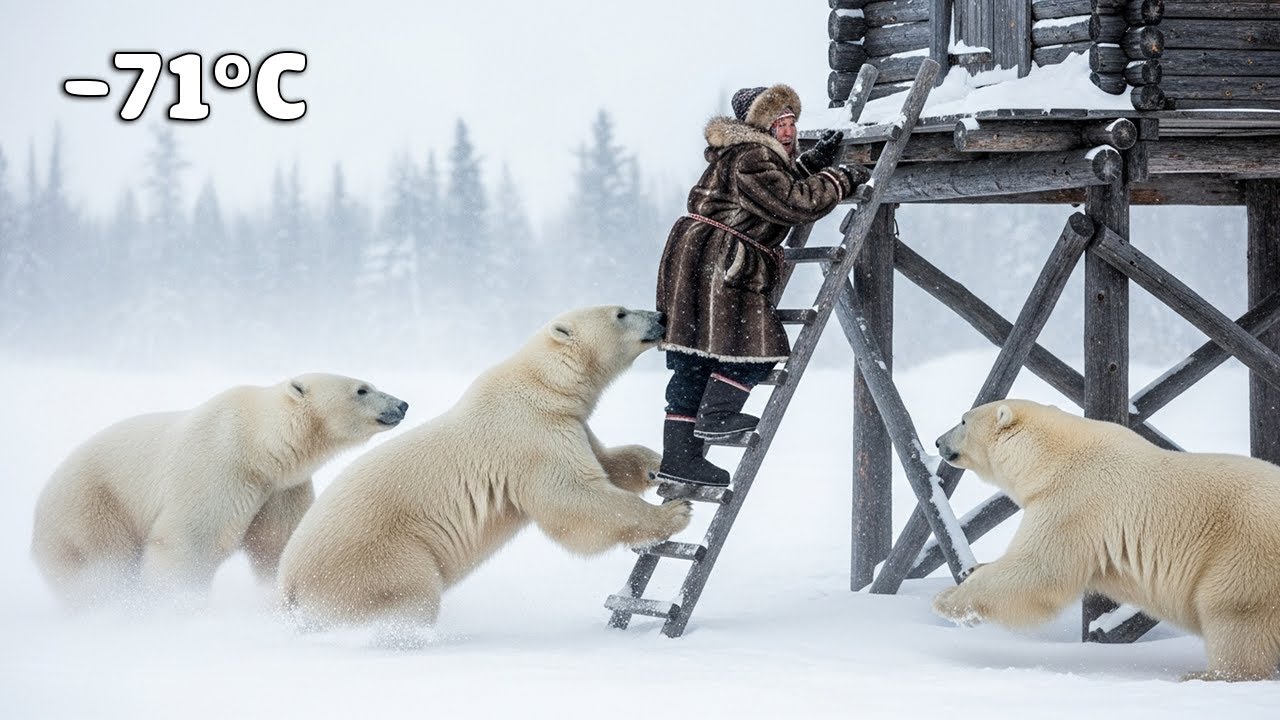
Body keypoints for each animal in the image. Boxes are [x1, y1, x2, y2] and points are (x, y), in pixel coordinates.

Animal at [31, 373, 408, 605]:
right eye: (361, 389)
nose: (402, 404)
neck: (259, 446)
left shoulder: (280, 489)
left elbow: (277, 543)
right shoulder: (218, 466)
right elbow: (187, 541)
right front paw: (180, 605)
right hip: (92, 507)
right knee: (101, 566)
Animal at [277, 306, 691, 632]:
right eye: (620, 312)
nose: (660, 316)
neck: (542, 386)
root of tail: (288, 583)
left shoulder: (569, 423)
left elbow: (607, 462)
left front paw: (663, 466)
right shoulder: (532, 434)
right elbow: (571, 497)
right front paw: (675, 512)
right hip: (377, 559)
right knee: (411, 594)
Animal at [931, 398, 1280, 681]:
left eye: (963, 420)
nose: (937, 441)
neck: (1052, 458)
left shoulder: (1074, 502)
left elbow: (1039, 570)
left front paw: (947, 600)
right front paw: (972, 570)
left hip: (1246, 554)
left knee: (1234, 612)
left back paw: (1209, 675)